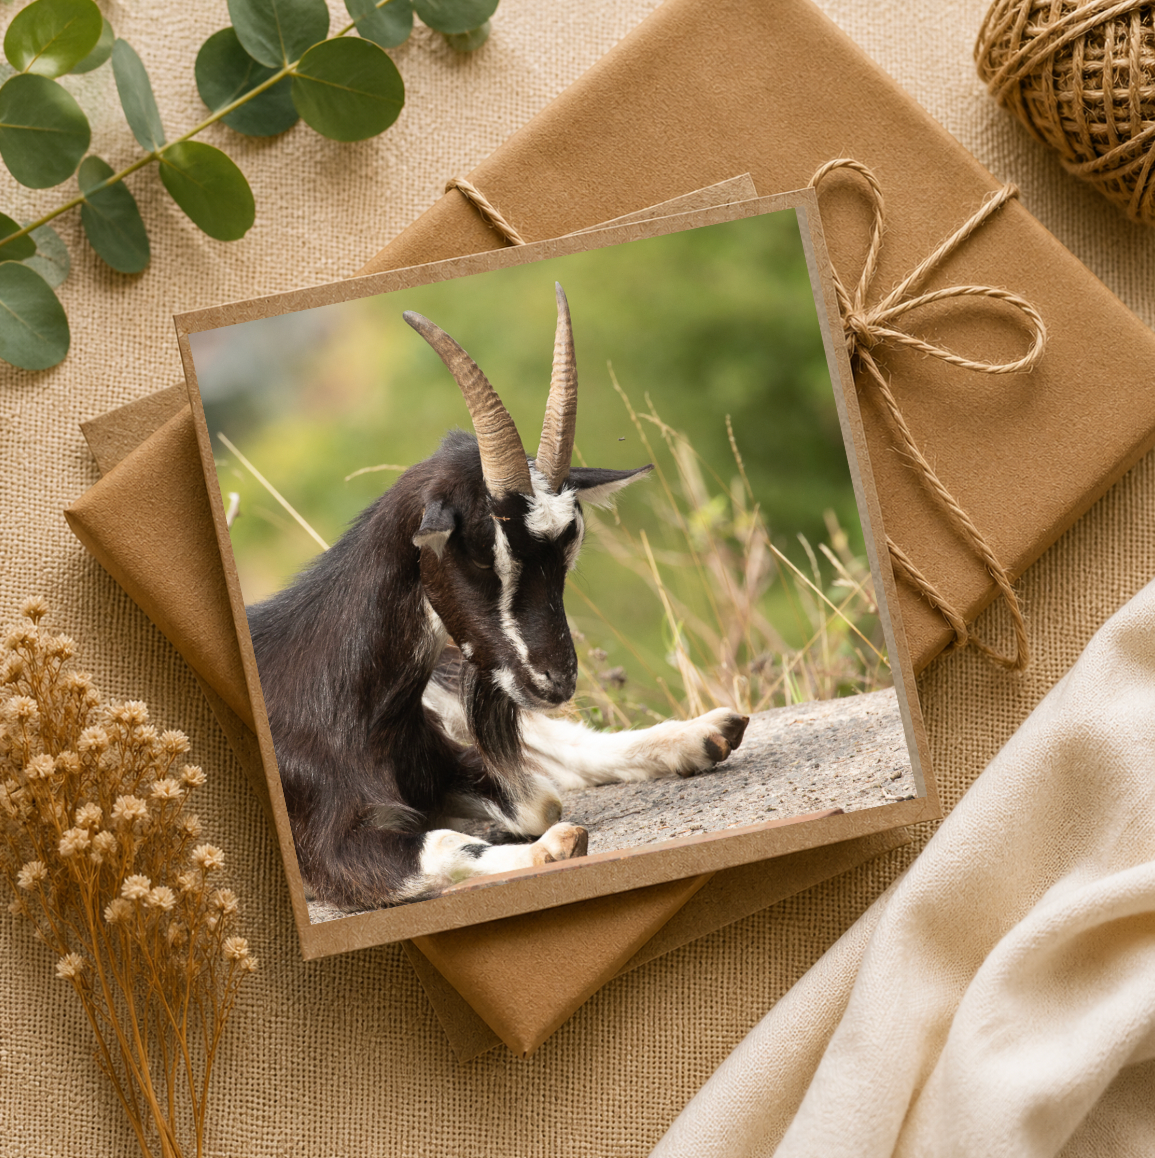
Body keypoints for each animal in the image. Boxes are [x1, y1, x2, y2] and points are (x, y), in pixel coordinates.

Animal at [247, 284, 749, 910]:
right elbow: (456, 840)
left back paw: (703, 734)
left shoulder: (448, 754)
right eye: (485, 554)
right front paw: (546, 849)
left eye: (569, 547)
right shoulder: (327, 844)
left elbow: (540, 799)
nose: (557, 680)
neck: (341, 704)